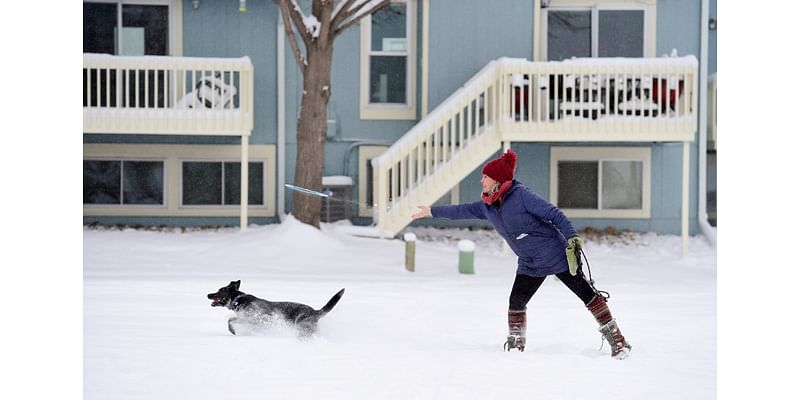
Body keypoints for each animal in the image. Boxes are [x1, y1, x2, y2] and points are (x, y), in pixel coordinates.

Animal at [206, 280, 344, 336]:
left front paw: (233, 331)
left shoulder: (252, 319)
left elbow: (230, 320)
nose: (208, 294)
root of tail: (315, 312)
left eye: (220, 290)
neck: (238, 300)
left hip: (302, 328)